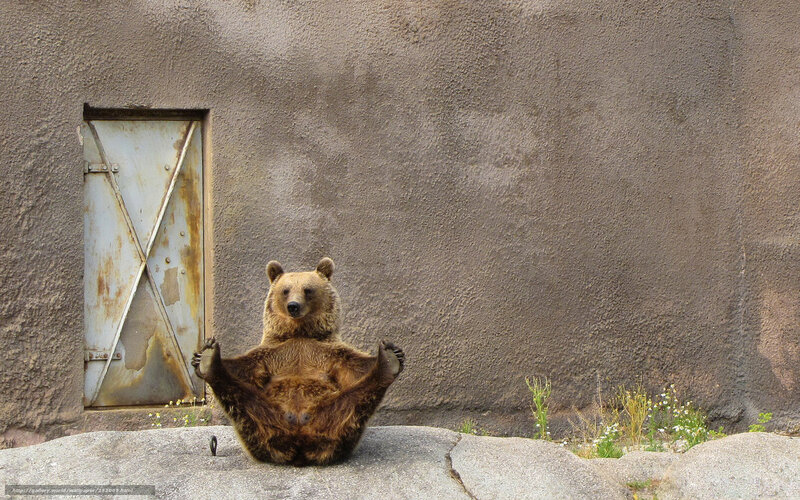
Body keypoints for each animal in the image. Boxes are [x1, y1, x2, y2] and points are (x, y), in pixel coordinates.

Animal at [191, 257, 405, 465]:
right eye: (285, 290)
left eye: (307, 289)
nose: (293, 306)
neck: (299, 332)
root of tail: (300, 444)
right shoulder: (272, 354)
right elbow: (244, 368)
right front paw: (200, 356)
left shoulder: (328, 353)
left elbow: (355, 367)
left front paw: (394, 352)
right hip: (263, 421)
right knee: (242, 400)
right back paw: (210, 361)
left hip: (332, 416)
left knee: (355, 402)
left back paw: (388, 363)